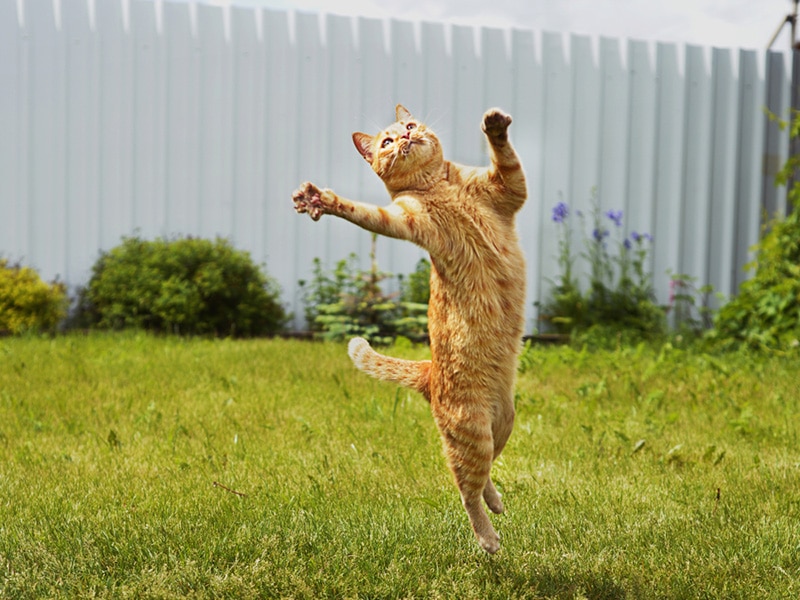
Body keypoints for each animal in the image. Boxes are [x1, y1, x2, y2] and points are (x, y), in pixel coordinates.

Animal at [292, 104, 524, 552]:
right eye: (386, 141)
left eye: (410, 125)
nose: (404, 137)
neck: (439, 186)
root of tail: (428, 372)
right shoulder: (402, 220)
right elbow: (363, 213)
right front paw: (321, 200)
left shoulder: (507, 188)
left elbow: (506, 158)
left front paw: (495, 126)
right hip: (474, 433)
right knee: (467, 488)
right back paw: (488, 538)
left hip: (503, 423)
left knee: (484, 475)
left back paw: (498, 503)